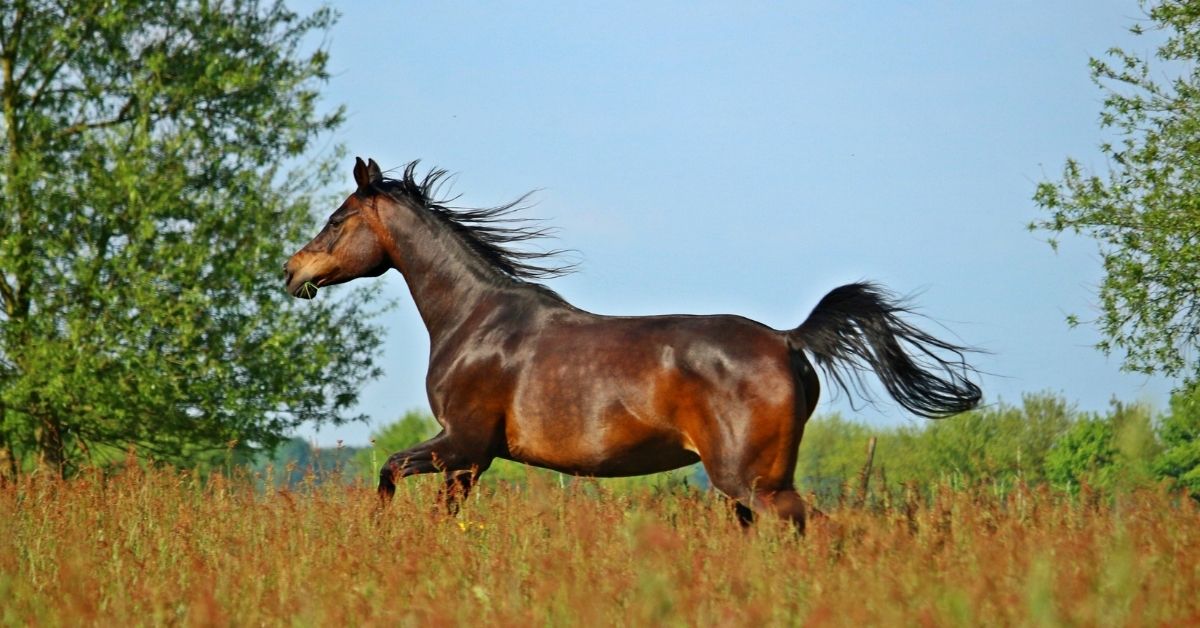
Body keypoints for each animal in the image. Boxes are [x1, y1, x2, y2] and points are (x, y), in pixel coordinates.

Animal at [285, 157, 979, 530]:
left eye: (338, 219)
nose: (292, 272)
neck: (476, 320)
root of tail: (788, 340)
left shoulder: (463, 443)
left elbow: (388, 473)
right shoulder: (469, 459)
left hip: (752, 482)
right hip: (746, 487)